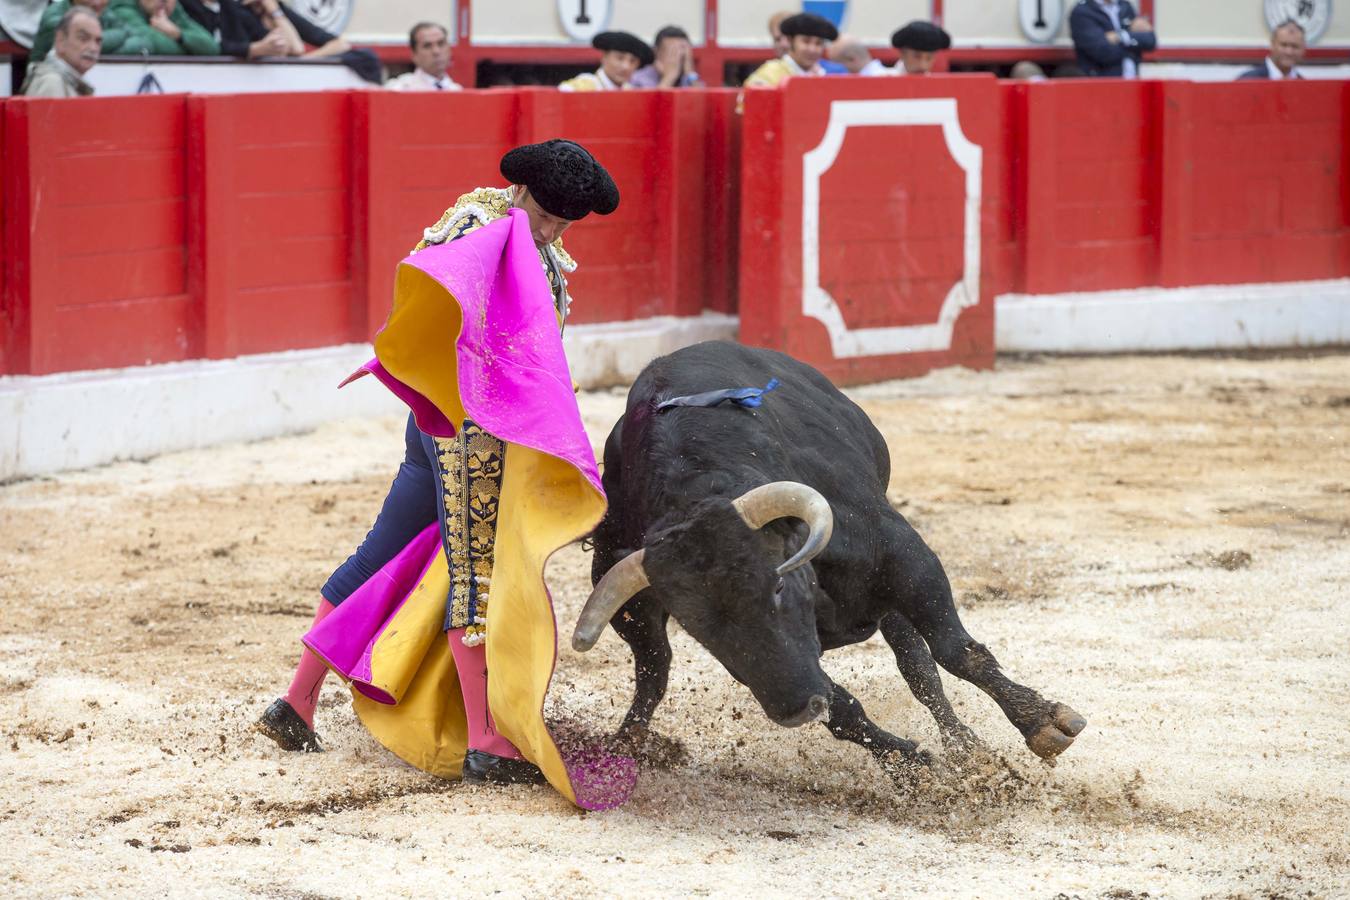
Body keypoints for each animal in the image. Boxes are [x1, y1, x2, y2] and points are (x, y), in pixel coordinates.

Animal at [572, 341, 1085, 771]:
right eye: (698, 626)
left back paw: (966, 747)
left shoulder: (902, 554)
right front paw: (912, 767)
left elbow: (956, 650)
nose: (797, 710)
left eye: (778, 584)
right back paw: (624, 745)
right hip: (638, 621)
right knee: (653, 671)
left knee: (919, 666)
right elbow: (842, 709)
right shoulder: (761, 666)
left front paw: (1042, 722)